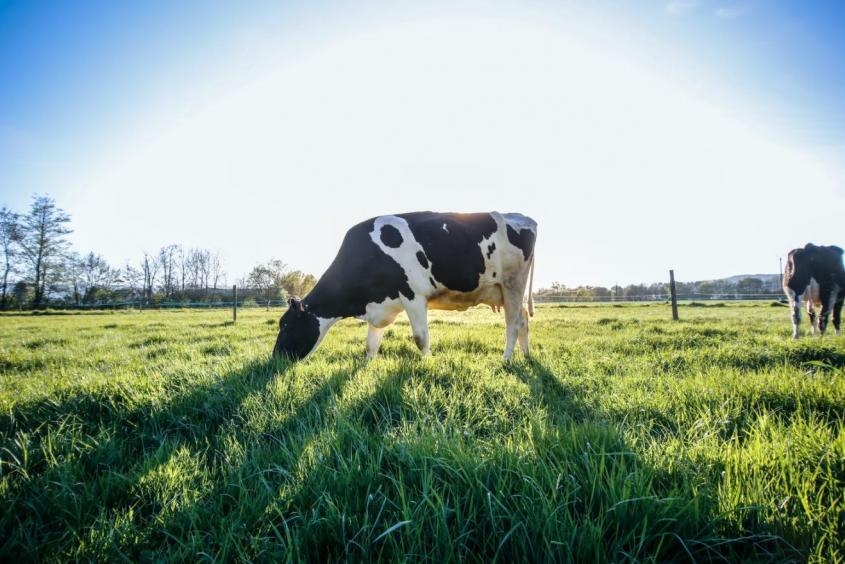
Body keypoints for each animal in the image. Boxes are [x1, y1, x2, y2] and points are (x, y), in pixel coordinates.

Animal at [272, 212, 536, 362]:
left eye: (285, 325)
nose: (275, 358)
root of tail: (521, 217)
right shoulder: (380, 305)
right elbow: (371, 344)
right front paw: (366, 366)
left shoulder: (414, 296)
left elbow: (421, 338)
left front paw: (428, 363)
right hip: (509, 291)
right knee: (523, 320)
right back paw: (526, 356)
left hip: (512, 283)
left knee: (513, 324)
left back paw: (506, 359)